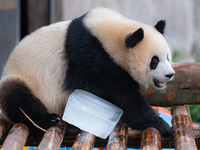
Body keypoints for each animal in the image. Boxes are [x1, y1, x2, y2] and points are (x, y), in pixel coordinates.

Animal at [0, 7, 173, 138]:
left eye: (168, 57)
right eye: (154, 61)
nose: (170, 74)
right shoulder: (90, 57)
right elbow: (120, 95)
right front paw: (162, 125)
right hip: (24, 79)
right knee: (18, 98)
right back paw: (46, 121)